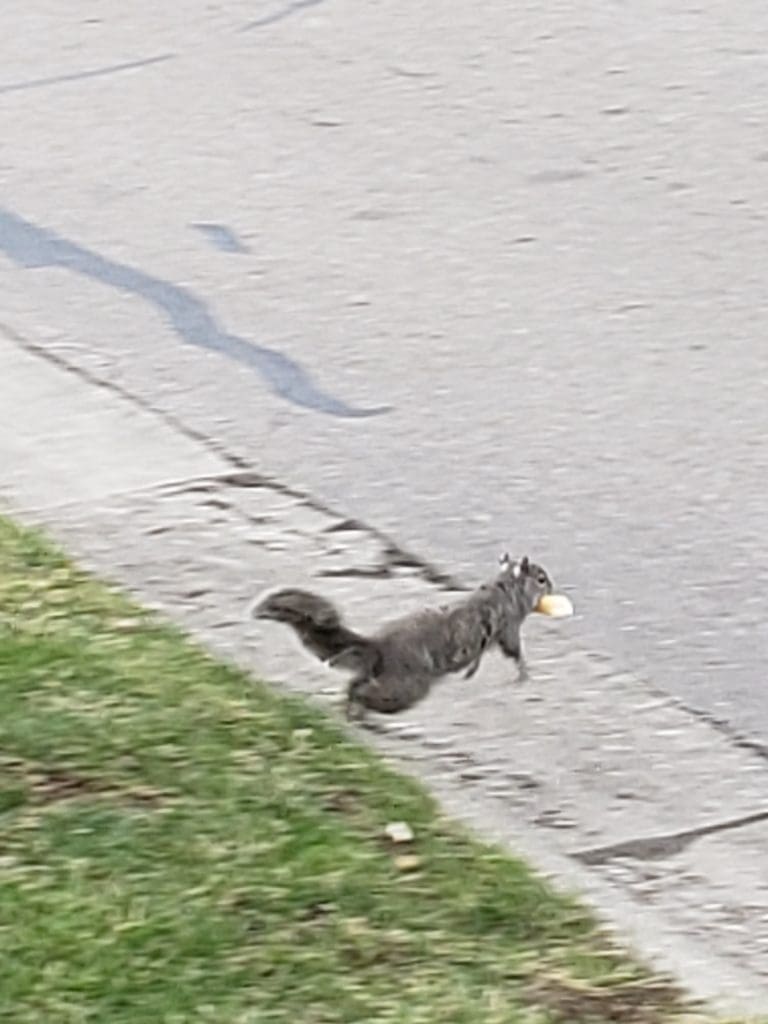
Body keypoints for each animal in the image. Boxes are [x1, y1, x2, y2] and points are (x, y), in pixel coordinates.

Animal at [251, 554, 556, 720]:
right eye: (540, 578)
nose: (552, 586)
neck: (505, 589)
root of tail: (379, 648)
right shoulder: (509, 624)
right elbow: (513, 649)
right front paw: (523, 671)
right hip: (405, 689)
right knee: (363, 691)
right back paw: (354, 704)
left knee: (358, 682)